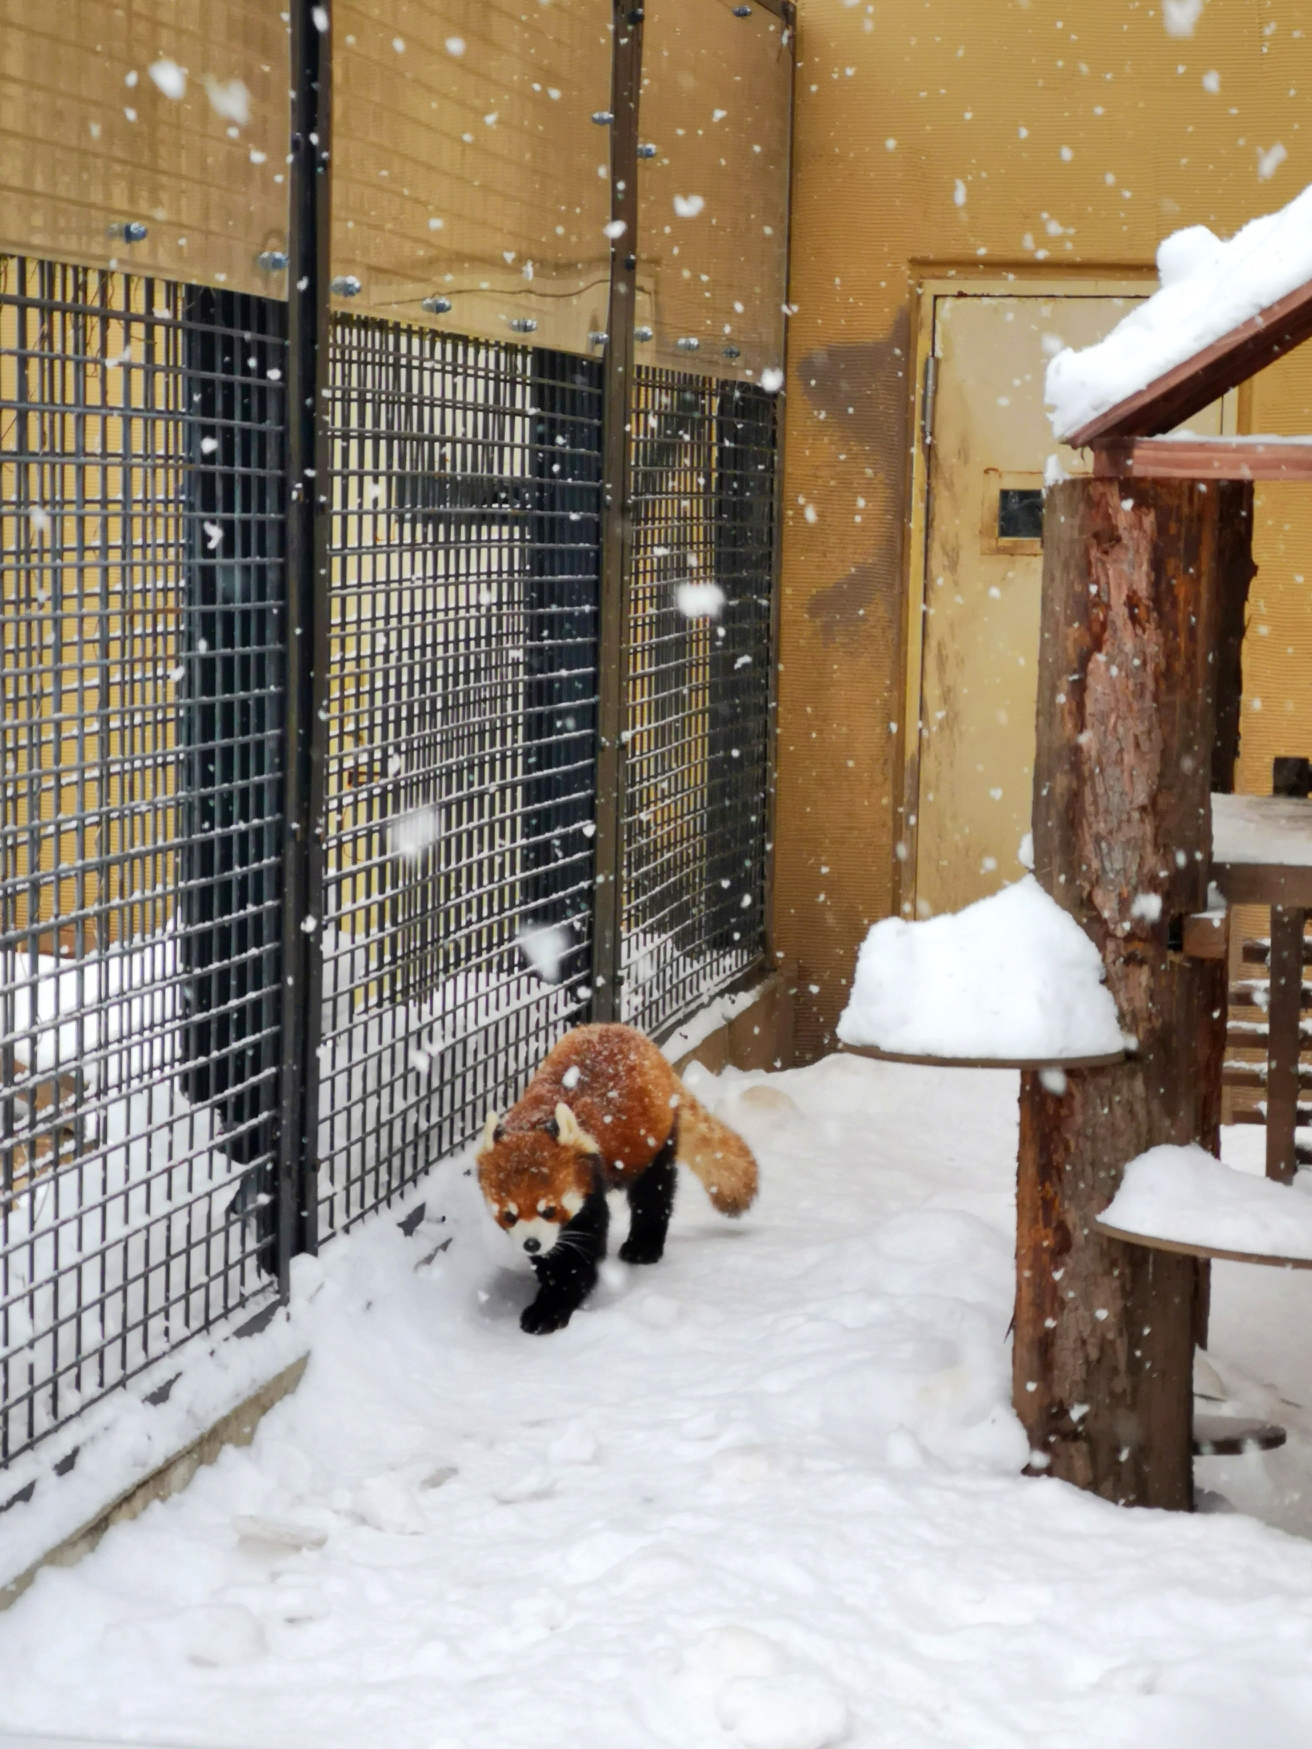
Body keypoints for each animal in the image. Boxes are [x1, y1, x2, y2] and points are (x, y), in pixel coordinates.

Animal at [479, 1021, 759, 1329]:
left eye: (549, 1209)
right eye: (509, 1214)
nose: (531, 1244)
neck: (537, 1119)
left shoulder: (591, 1184)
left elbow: (579, 1255)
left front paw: (551, 1307)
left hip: (654, 1140)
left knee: (653, 1192)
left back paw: (643, 1246)